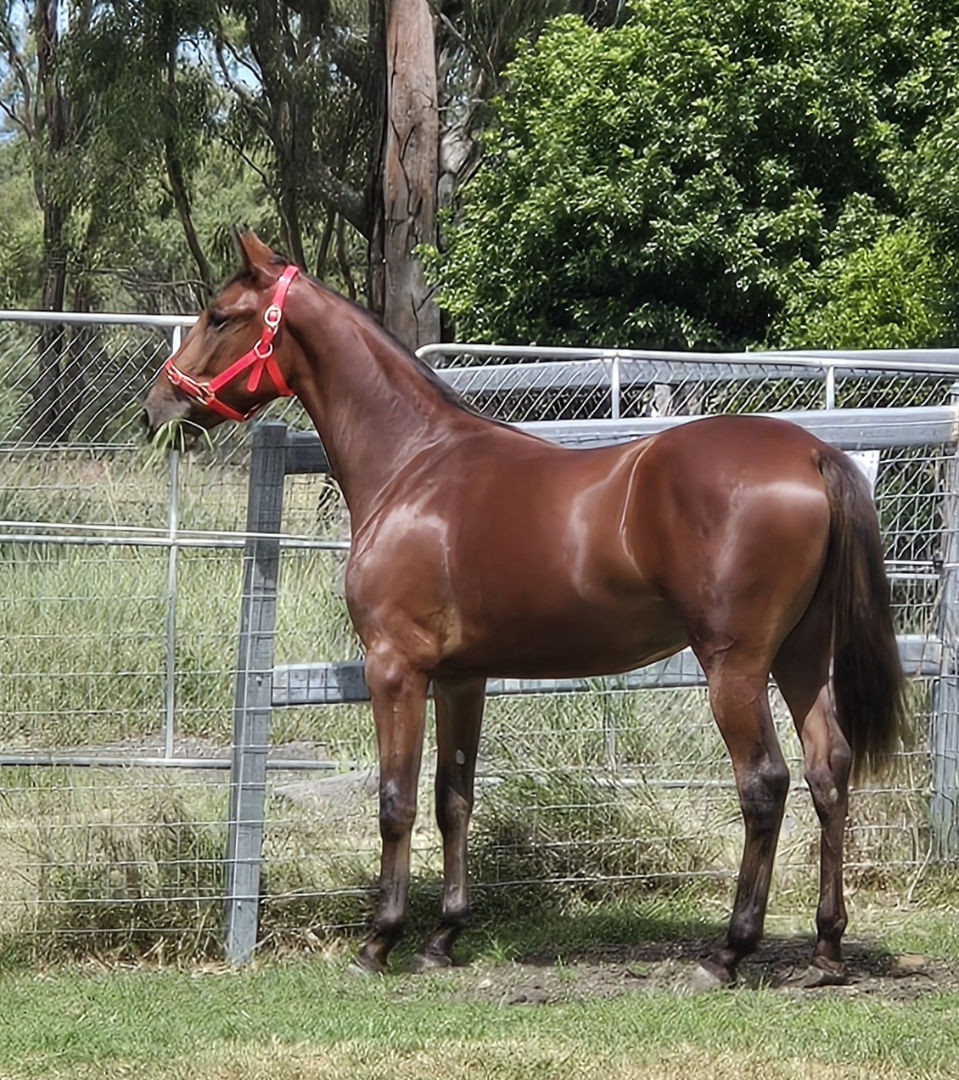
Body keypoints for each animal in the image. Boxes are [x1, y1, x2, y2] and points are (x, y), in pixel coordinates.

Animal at [141, 230, 907, 988]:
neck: (413, 466)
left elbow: (396, 800)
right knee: (828, 769)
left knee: (764, 784)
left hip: (735, 667)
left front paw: (379, 942)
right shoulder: (462, 677)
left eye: (219, 316)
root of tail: (810, 455)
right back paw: (826, 950)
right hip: (799, 655)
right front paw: (443, 938)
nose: (158, 409)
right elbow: (453, 796)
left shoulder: (395, 667)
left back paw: (727, 953)